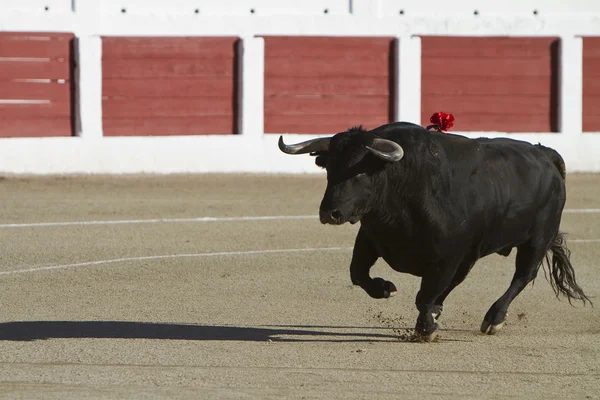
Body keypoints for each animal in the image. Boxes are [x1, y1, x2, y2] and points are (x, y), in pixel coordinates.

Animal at [280, 122, 592, 340]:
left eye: (360, 170)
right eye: (329, 168)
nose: (329, 213)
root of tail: (544, 153)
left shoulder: (447, 256)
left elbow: (425, 294)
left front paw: (426, 329)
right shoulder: (370, 238)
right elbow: (358, 273)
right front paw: (386, 289)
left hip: (537, 238)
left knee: (523, 276)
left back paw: (493, 318)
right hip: (476, 250)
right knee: (458, 282)